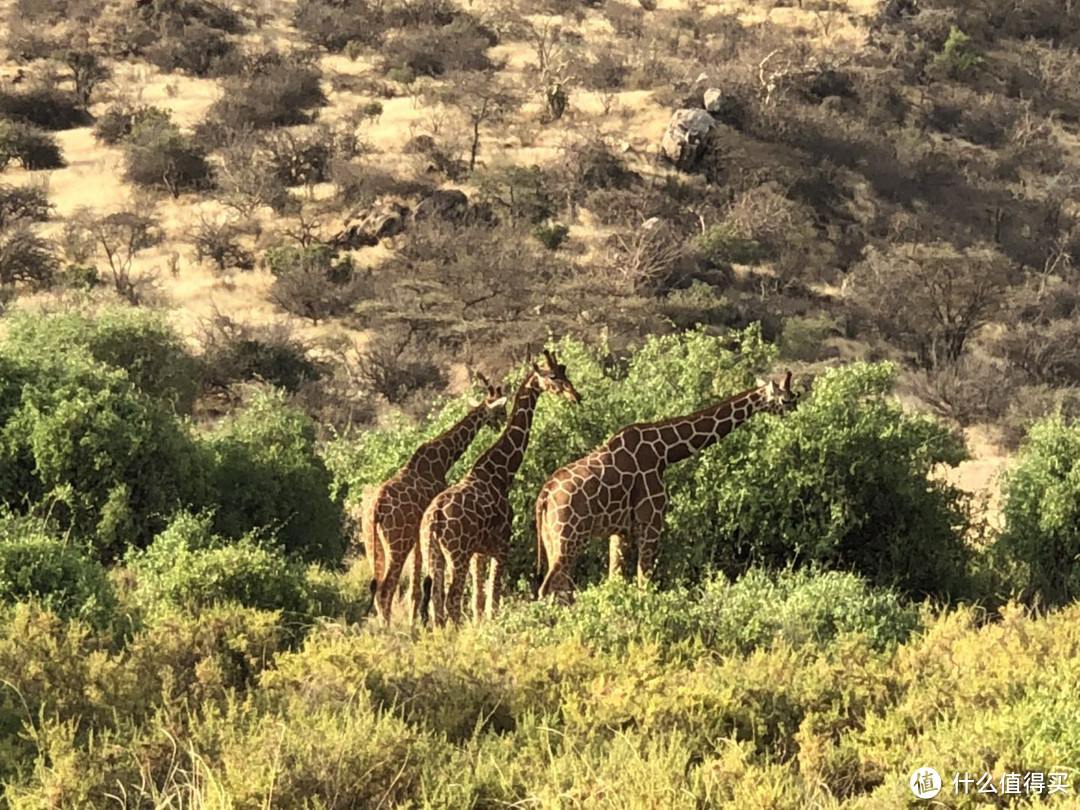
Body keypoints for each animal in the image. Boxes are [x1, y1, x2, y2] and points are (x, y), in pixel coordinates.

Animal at [365, 378, 507, 626]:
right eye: (500, 410)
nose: (502, 424)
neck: (443, 459)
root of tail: (375, 511)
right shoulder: (420, 535)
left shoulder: (419, 536)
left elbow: (418, 583)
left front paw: (415, 622)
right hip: (397, 543)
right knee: (385, 589)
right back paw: (389, 629)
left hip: (372, 545)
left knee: (376, 587)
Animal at [416, 349, 583, 626]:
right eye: (553, 376)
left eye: (564, 370)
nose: (575, 395)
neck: (500, 473)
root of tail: (435, 519)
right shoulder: (501, 544)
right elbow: (492, 597)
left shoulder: (479, 551)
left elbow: (478, 600)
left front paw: (479, 627)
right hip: (456, 553)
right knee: (451, 599)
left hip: (434, 553)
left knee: (436, 600)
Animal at [535, 371, 799, 600]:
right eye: (787, 399)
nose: (796, 414)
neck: (664, 452)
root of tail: (544, 496)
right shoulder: (652, 521)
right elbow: (645, 581)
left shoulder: (620, 531)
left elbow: (616, 580)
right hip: (569, 537)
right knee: (548, 587)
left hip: (550, 538)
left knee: (557, 585)